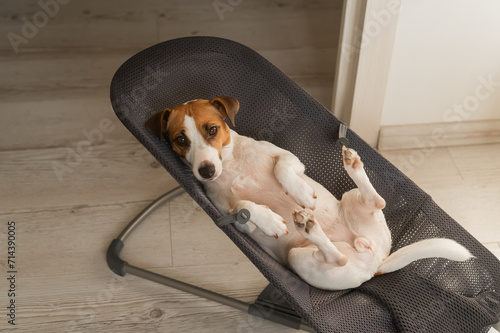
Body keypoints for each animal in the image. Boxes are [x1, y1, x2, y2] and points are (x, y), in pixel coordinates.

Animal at [146, 97, 472, 290]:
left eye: (212, 129)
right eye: (180, 140)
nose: (206, 171)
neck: (231, 166)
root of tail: (376, 262)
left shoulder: (289, 158)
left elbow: (282, 169)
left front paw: (300, 193)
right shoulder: (228, 215)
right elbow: (242, 206)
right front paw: (270, 221)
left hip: (347, 205)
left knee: (375, 201)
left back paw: (350, 169)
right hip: (299, 258)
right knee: (339, 256)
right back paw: (310, 226)